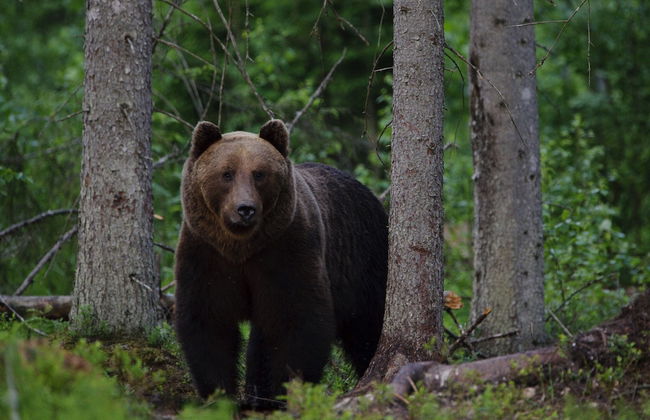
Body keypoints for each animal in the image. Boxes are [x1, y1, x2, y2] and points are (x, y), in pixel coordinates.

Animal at [174, 119, 388, 408]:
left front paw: (285, 391)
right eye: (226, 173)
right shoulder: (206, 253)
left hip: (364, 261)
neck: (242, 247)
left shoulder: (286, 250)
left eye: (259, 173)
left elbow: (296, 320)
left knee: (368, 326)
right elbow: (208, 320)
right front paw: (218, 395)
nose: (245, 209)